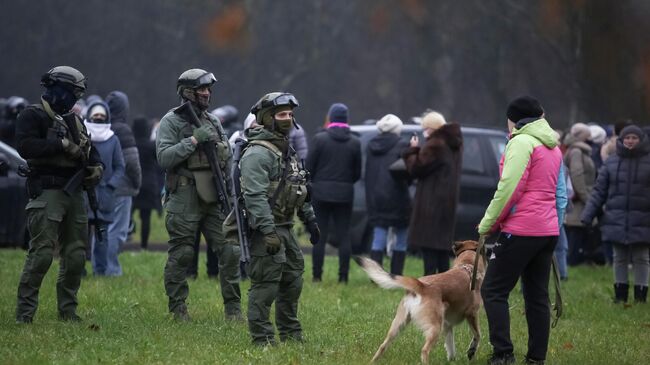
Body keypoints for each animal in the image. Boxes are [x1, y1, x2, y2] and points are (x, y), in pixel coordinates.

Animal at [354, 240, 486, 362]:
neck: (467, 265)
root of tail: (422, 286)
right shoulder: (472, 314)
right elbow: (477, 335)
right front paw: (471, 351)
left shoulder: (447, 324)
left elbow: (450, 346)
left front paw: (452, 360)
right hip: (435, 327)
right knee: (424, 350)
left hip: (399, 324)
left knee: (382, 346)